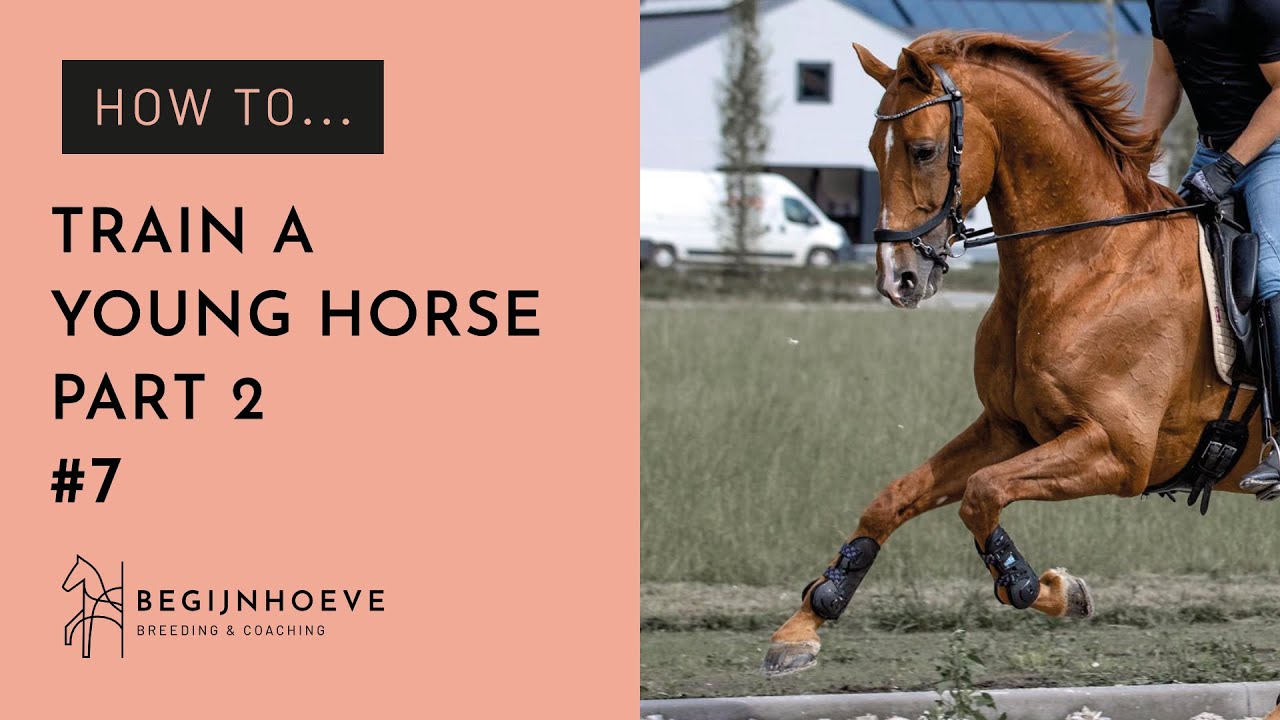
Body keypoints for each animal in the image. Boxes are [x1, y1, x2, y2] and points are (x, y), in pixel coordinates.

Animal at [761, 31, 1278, 677]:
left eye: (924, 151)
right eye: (874, 152)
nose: (897, 279)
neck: (1087, 262)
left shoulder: (1118, 452)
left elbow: (981, 495)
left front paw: (1042, 585)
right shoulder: (1010, 429)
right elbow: (894, 499)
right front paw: (806, 620)